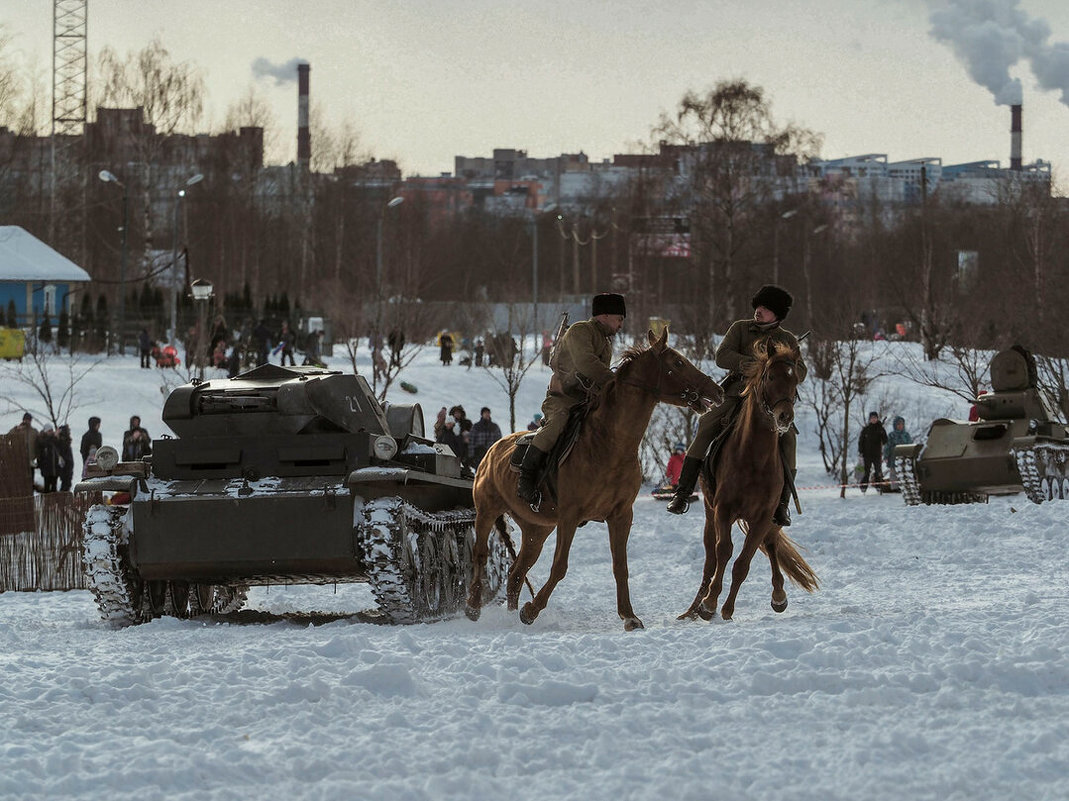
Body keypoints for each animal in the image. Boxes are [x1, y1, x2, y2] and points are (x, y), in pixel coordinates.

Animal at [466, 327, 722, 633]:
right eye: (678, 363)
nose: (717, 390)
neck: (610, 444)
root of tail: (492, 450)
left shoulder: (621, 516)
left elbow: (620, 566)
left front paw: (629, 616)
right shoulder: (569, 517)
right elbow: (560, 566)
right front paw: (532, 610)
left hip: (537, 530)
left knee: (517, 572)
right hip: (487, 510)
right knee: (480, 554)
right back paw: (473, 607)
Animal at [679, 340, 820, 620]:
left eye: (794, 379)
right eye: (770, 376)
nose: (785, 417)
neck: (755, 457)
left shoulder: (763, 517)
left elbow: (743, 563)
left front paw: (727, 609)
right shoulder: (723, 511)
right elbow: (724, 552)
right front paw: (710, 603)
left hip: (773, 519)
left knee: (771, 544)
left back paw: (779, 595)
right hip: (710, 512)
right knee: (711, 557)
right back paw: (694, 607)